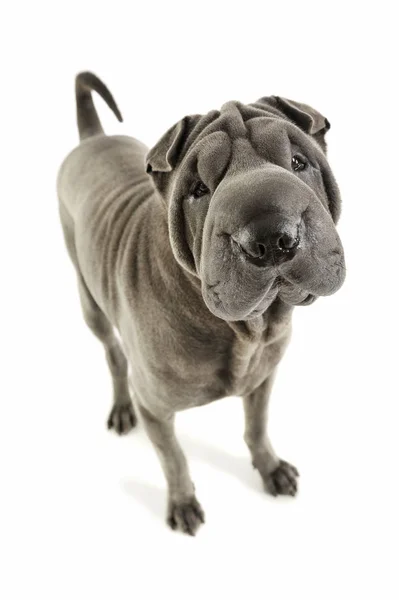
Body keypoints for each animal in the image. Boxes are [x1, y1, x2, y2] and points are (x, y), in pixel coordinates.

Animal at [57, 72, 346, 536]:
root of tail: (94, 138)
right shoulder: (155, 407)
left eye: (299, 162)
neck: (245, 329)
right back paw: (120, 408)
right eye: (198, 189)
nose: (272, 236)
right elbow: (174, 459)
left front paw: (270, 468)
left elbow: (257, 427)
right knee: (113, 354)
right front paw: (183, 502)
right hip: (89, 301)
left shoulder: (264, 377)